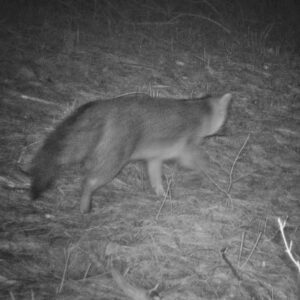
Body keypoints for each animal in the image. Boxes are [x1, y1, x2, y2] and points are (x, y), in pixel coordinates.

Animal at [31, 92, 232, 212]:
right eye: (226, 119)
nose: (228, 131)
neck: (200, 111)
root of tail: (108, 103)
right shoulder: (186, 150)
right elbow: (201, 162)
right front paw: (213, 173)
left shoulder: (154, 160)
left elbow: (156, 180)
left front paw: (163, 196)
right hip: (114, 163)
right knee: (88, 180)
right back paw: (84, 207)